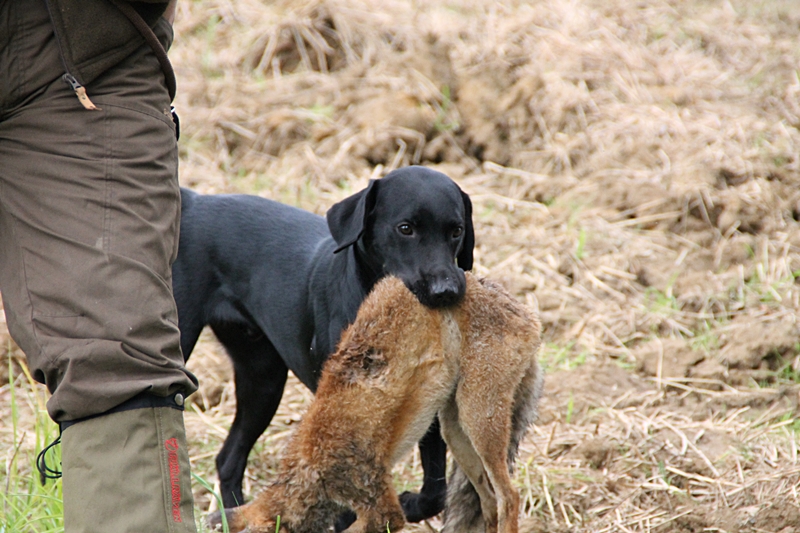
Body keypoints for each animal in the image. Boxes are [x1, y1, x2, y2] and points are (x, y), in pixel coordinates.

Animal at [172, 166, 472, 524]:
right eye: (405, 229)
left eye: (456, 231)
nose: (446, 290)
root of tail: (194, 202)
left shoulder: (430, 405)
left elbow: (435, 490)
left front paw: (411, 504)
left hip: (263, 381)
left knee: (229, 457)